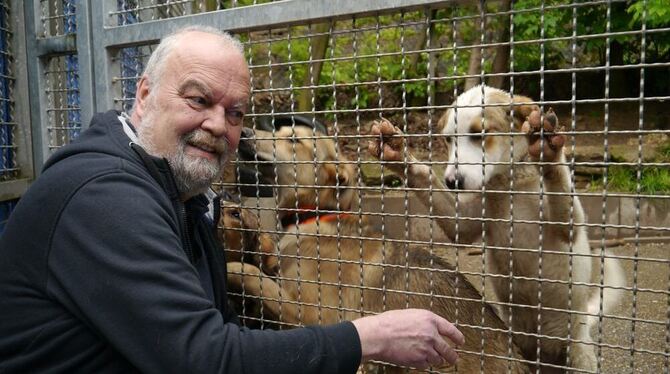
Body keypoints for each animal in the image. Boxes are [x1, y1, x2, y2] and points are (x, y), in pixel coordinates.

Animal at [228, 126, 532, 374]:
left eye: (293, 139)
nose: (243, 131)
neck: (314, 216)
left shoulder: (314, 316)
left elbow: (253, 274)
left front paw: (231, 266)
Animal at [370, 84, 628, 372]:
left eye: (480, 134)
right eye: (448, 140)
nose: (452, 182)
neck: (506, 185)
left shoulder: (567, 229)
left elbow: (558, 185)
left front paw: (547, 151)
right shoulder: (463, 225)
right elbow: (426, 176)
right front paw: (398, 154)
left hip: (578, 352)